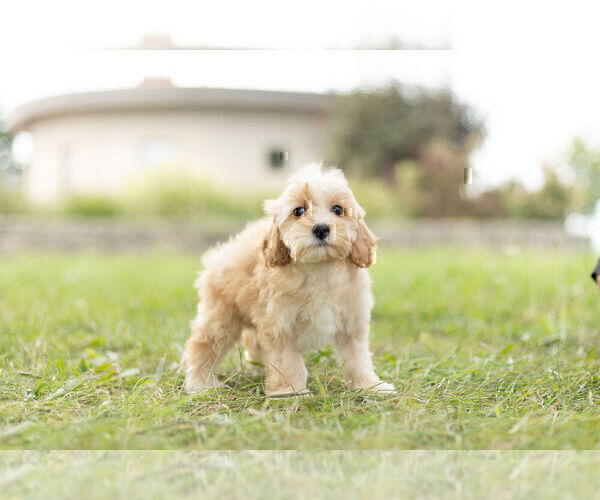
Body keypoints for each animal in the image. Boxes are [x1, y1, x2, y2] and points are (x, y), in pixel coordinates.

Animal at [185, 166, 396, 396]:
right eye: (299, 211)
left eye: (338, 209)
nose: (321, 229)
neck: (319, 268)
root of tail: (223, 250)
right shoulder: (280, 325)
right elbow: (287, 362)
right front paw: (291, 391)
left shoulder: (352, 322)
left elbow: (357, 359)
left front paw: (370, 386)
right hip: (221, 316)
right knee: (203, 345)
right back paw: (199, 383)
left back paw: (255, 370)